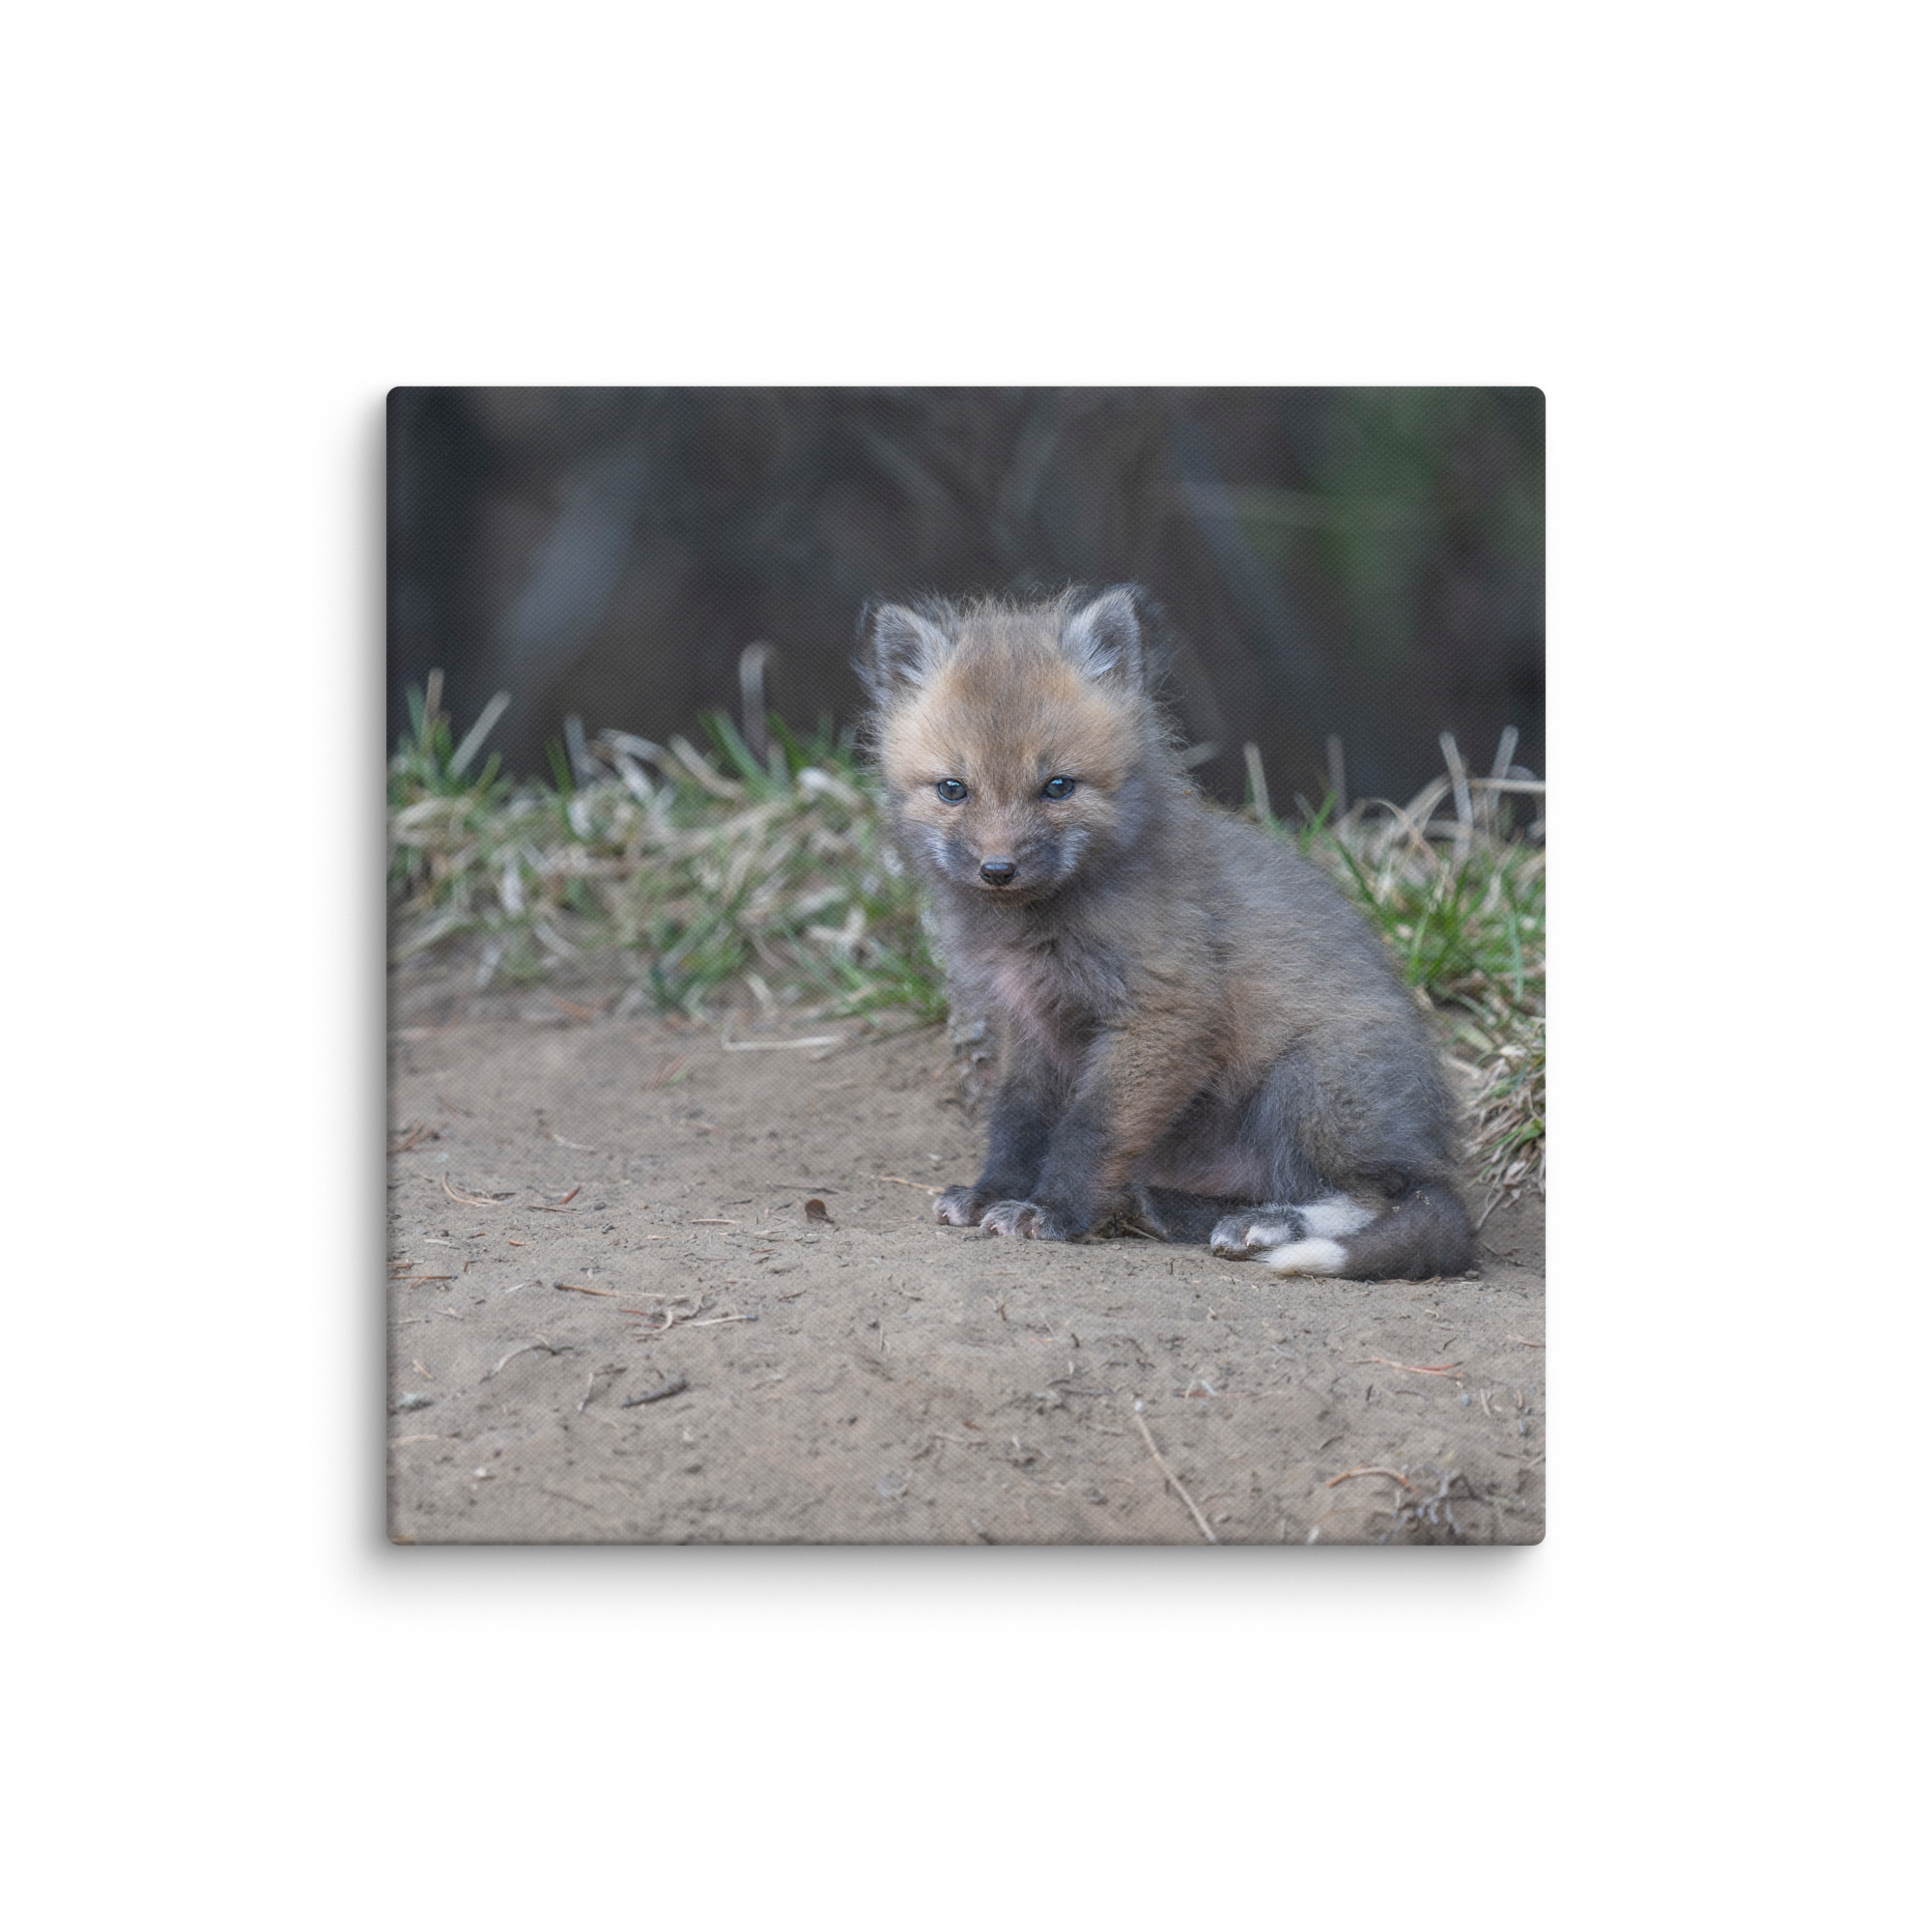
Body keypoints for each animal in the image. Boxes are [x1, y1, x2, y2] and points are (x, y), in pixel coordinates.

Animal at [858, 583, 1476, 1282]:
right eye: (953, 789)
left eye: (1058, 787)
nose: (997, 869)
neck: (1037, 927)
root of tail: (1431, 1143)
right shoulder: (1033, 1026)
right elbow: (1018, 1122)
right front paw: (994, 1193)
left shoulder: (1165, 1011)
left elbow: (1090, 1129)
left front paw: (1053, 1211)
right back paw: (1174, 1209)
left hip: (1309, 1085)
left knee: (1391, 1198)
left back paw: (1269, 1226)